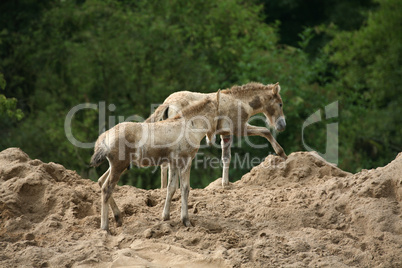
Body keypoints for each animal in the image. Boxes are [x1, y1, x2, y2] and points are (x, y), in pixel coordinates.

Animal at [91, 91, 221, 229]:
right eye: (218, 116)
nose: (212, 140)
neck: (188, 125)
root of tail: (105, 136)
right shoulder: (186, 161)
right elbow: (185, 189)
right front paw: (186, 220)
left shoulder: (173, 163)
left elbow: (171, 187)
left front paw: (166, 216)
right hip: (118, 167)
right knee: (106, 189)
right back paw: (105, 227)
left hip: (116, 166)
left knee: (101, 182)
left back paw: (118, 218)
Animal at [147, 81, 286, 188]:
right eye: (280, 104)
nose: (282, 125)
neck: (240, 102)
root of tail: (168, 102)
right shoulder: (239, 128)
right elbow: (265, 130)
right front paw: (281, 153)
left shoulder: (226, 133)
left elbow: (226, 157)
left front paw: (225, 184)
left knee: (164, 163)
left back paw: (163, 188)